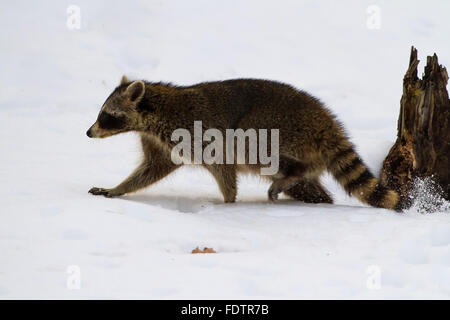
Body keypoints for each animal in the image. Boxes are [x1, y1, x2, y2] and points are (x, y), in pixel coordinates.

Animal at [87, 74, 404, 210]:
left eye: (106, 116)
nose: (88, 133)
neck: (156, 107)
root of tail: (326, 123)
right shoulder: (157, 141)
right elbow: (153, 168)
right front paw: (118, 188)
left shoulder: (197, 134)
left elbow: (223, 166)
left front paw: (228, 202)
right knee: (309, 183)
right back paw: (316, 198)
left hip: (280, 128)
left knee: (250, 144)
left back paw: (292, 174)